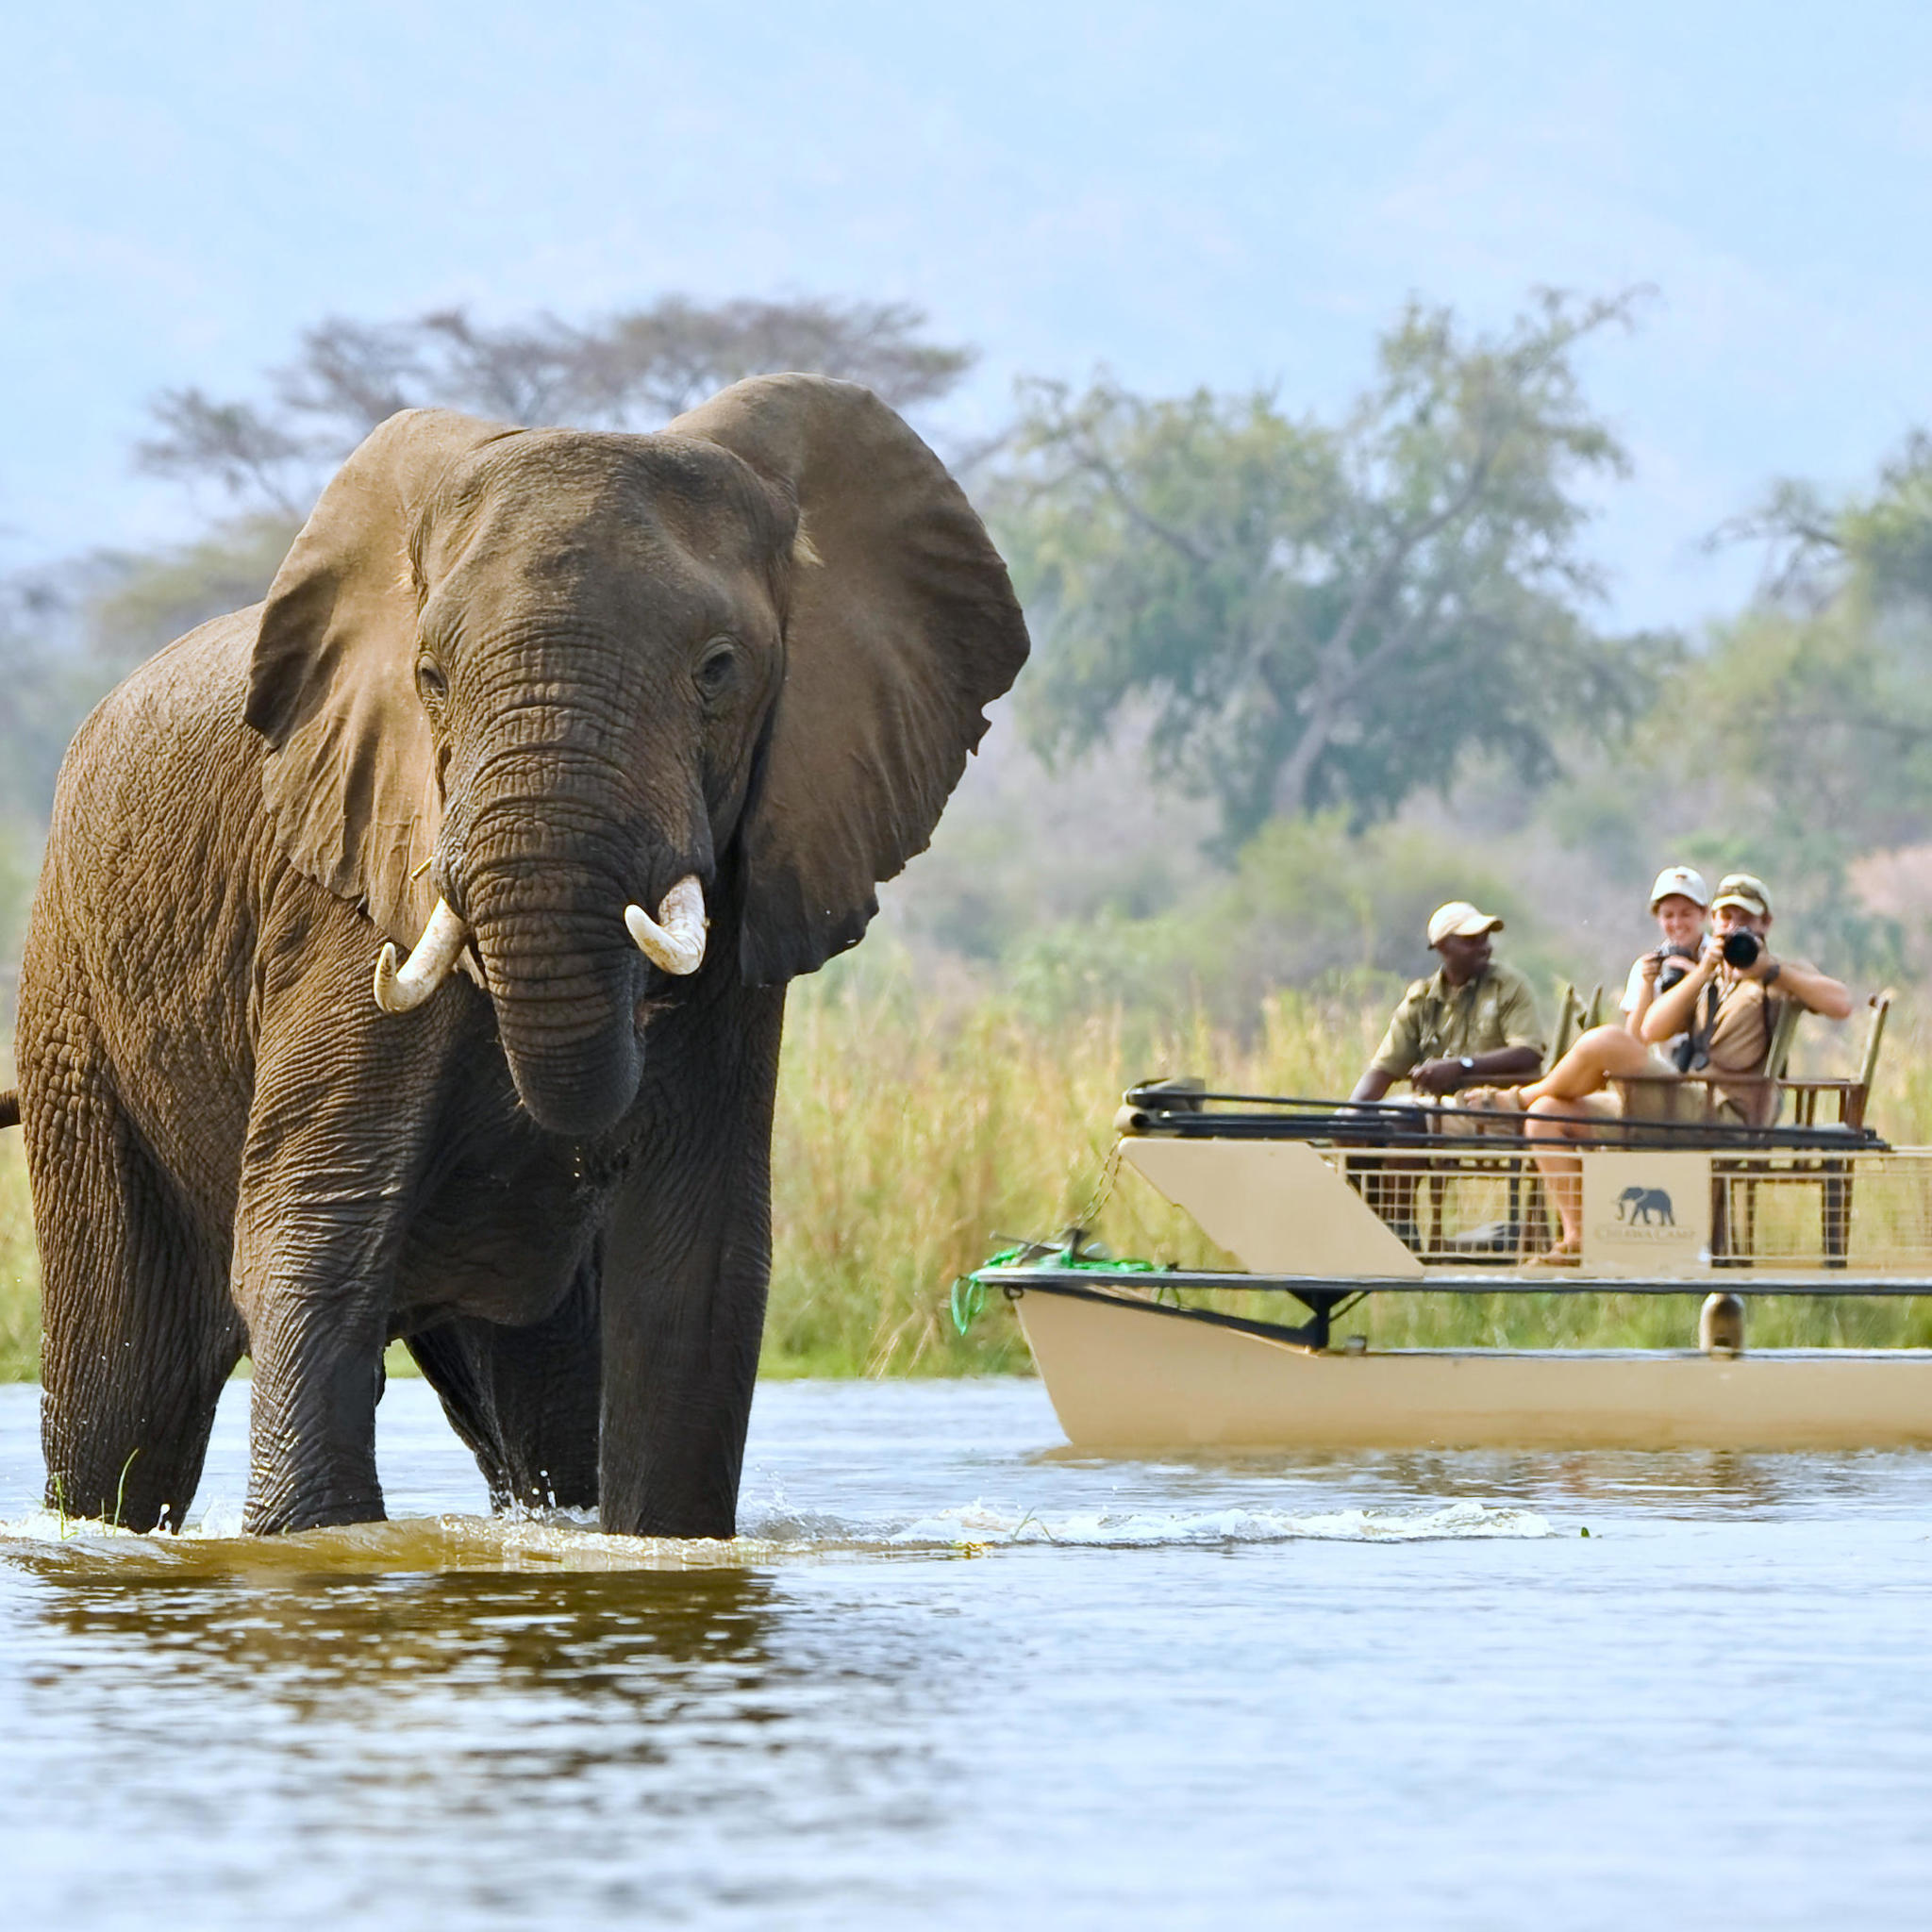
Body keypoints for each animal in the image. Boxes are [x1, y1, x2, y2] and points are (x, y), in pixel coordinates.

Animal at [17, 374, 1028, 1538]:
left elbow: (696, 1263)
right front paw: (312, 1541)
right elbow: (312, 1224)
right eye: (429, 674)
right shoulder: (342, 910)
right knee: (123, 1399)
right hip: (75, 1016)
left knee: (540, 1400)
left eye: (719, 672)